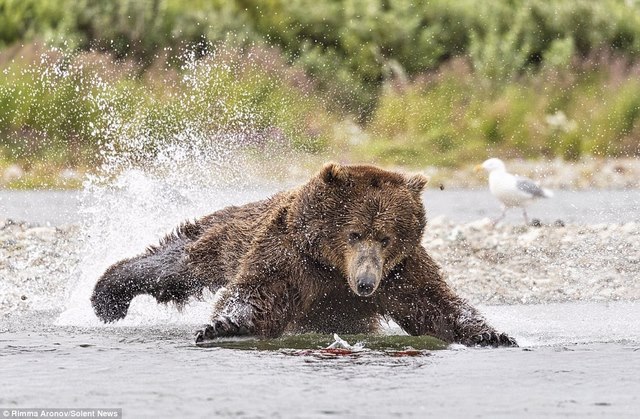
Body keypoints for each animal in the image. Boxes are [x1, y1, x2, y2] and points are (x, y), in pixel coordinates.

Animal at [92, 163, 516, 348]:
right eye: (354, 232)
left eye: (386, 237)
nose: (365, 284)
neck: (333, 266)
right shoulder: (291, 255)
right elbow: (257, 292)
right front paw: (221, 326)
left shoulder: (401, 270)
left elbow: (435, 302)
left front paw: (492, 333)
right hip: (230, 234)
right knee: (178, 261)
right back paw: (108, 296)